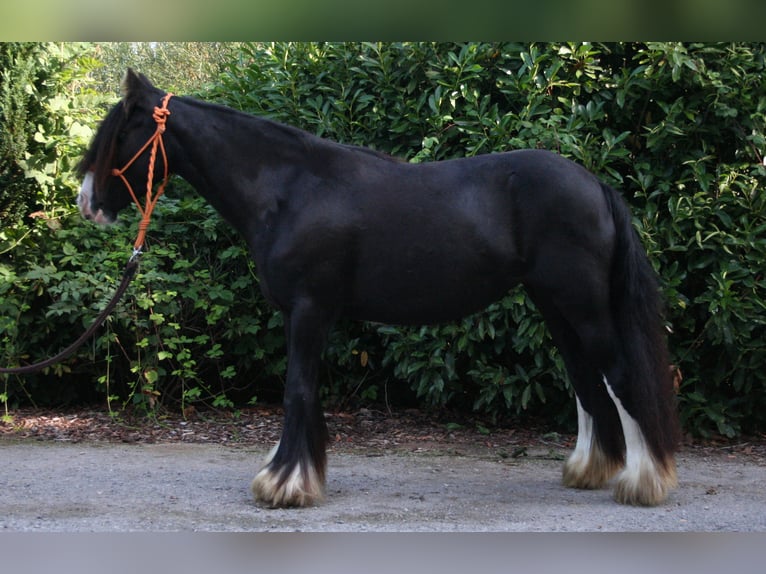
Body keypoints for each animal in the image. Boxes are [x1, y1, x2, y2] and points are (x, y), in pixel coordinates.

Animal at [76, 71, 680, 508]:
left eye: (118, 135)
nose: (86, 202)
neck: (289, 188)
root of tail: (594, 183)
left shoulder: (309, 310)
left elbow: (296, 390)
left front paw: (282, 486)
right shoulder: (306, 316)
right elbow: (307, 394)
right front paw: (299, 475)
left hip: (581, 305)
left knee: (619, 375)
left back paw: (643, 483)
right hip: (556, 307)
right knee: (586, 380)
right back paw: (591, 470)